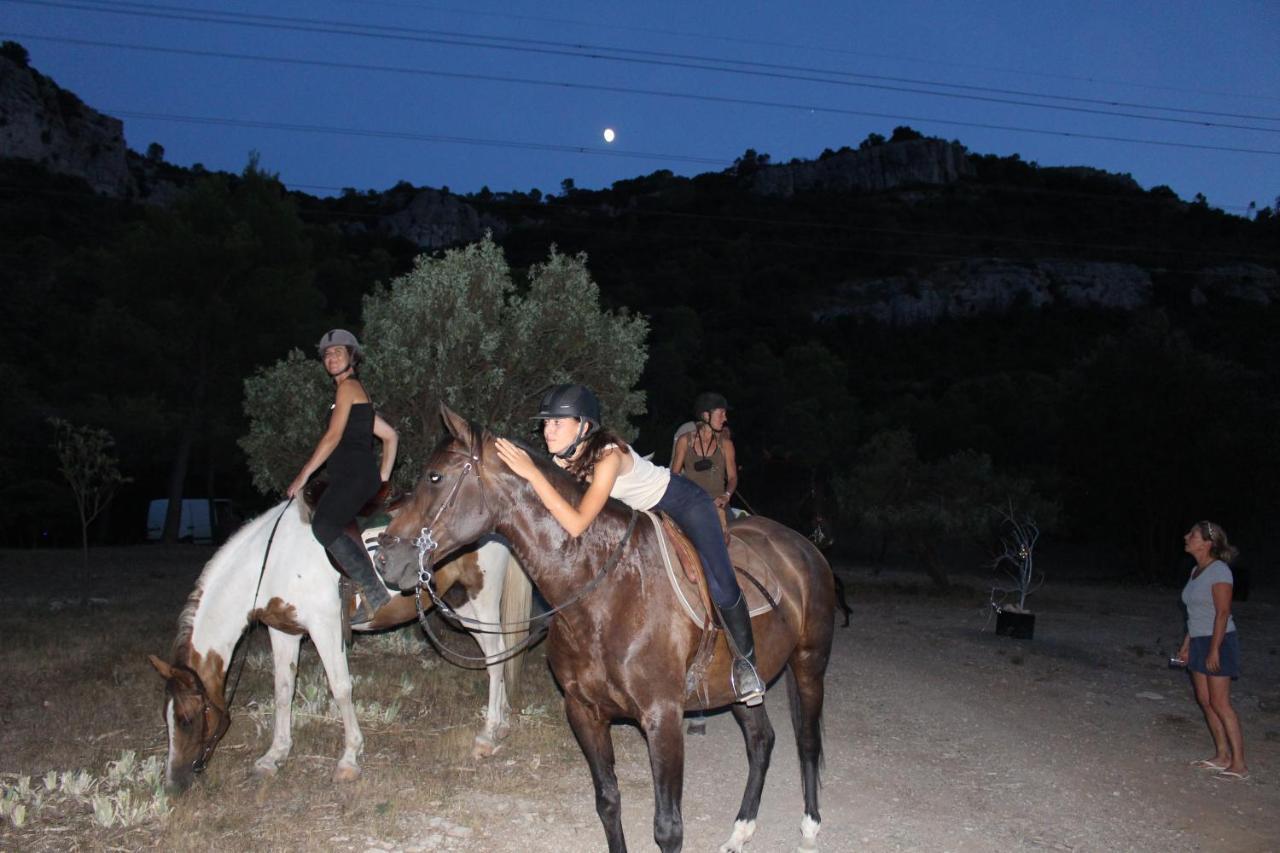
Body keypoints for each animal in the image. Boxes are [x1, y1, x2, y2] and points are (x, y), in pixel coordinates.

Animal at [149, 499, 529, 788]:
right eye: (166, 720)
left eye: (186, 718)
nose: (174, 784)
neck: (272, 562)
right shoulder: (283, 631)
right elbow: (283, 690)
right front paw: (275, 755)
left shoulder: (325, 626)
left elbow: (341, 688)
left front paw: (349, 758)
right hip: (460, 603)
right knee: (495, 654)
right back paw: (502, 722)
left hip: (481, 597)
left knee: (495, 658)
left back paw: (488, 734)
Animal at [376, 407, 839, 850]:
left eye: (435, 477)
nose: (384, 558)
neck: (606, 587)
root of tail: (803, 544)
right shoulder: (584, 712)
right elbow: (608, 803)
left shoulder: (662, 717)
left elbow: (668, 828)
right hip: (735, 690)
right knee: (761, 741)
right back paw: (740, 832)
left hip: (808, 663)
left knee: (807, 742)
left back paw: (811, 828)